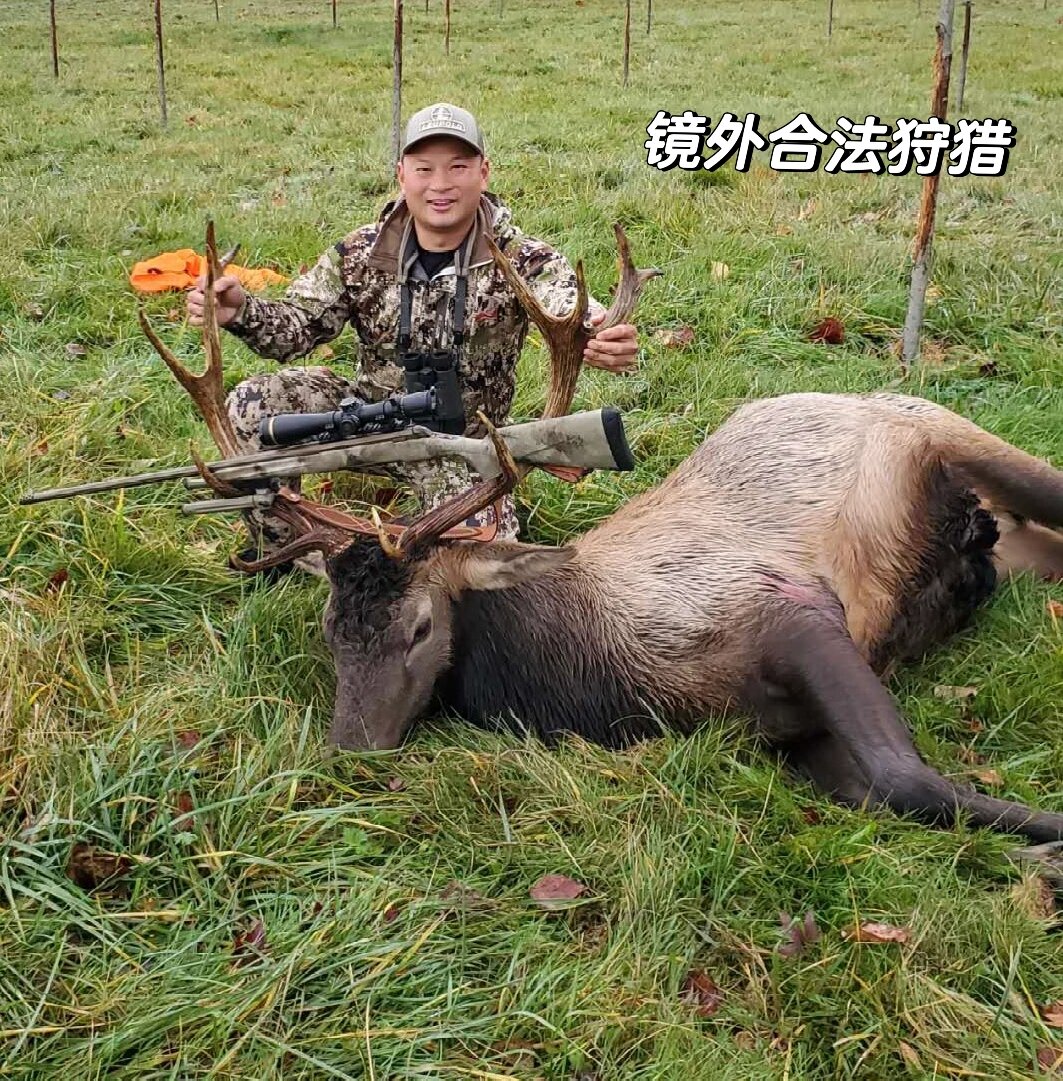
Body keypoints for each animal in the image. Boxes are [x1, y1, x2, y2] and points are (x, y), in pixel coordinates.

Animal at [141, 221, 1063, 846]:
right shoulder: (789, 732)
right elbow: (882, 788)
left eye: (421, 626)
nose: (348, 753)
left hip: (953, 433)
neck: (598, 682)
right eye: (332, 629)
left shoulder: (790, 606)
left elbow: (908, 780)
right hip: (999, 537)